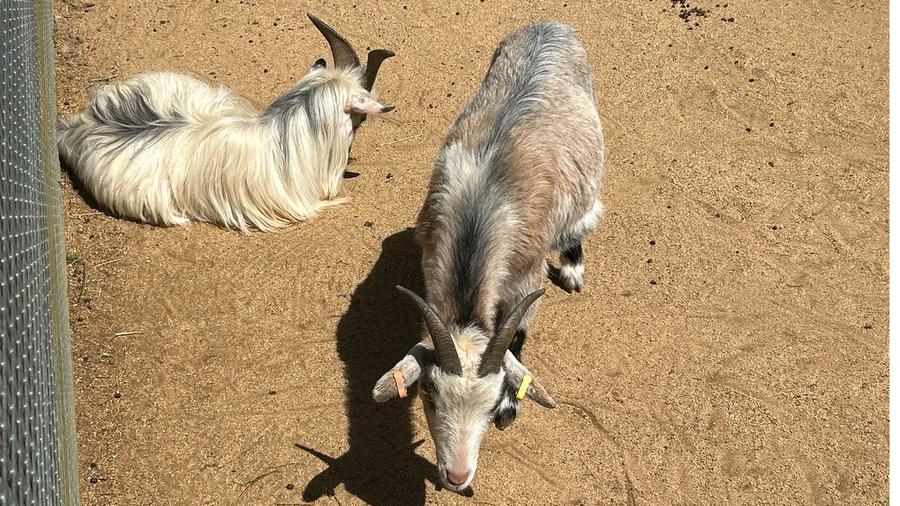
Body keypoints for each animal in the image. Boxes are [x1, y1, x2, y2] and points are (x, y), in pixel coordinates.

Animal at [372, 20, 604, 493]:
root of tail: (552, 25)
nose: (457, 476)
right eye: (428, 395)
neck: (477, 216)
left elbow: (516, 335)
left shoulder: (526, 277)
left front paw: (512, 407)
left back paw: (573, 266)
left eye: (494, 397)